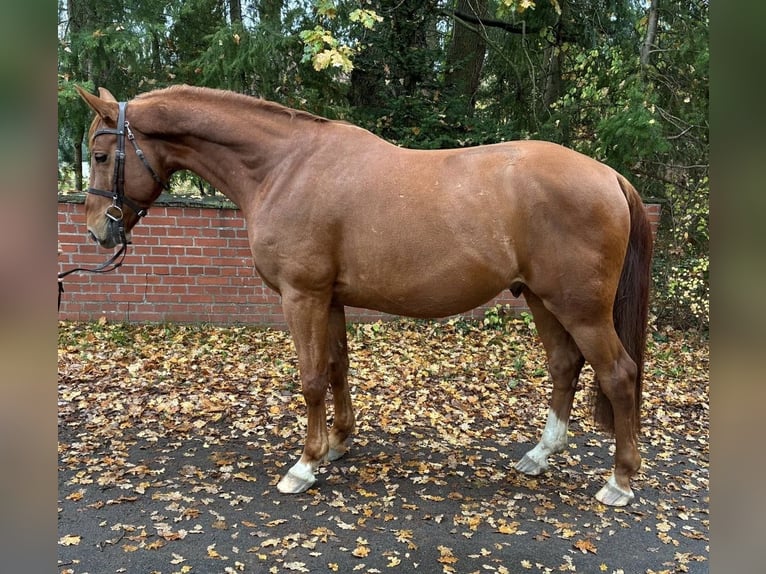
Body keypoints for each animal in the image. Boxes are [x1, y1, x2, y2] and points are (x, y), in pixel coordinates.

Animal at [74, 84, 653, 506]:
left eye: (101, 154)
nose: (98, 231)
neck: (284, 168)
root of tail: (609, 175)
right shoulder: (328, 298)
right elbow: (336, 367)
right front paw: (338, 443)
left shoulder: (301, 296)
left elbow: (311, 379)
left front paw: (304, 465)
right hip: (541, 299)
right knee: (564, 366)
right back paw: (539, 455)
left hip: (581, 309)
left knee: (618, 375)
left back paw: (619, 482)